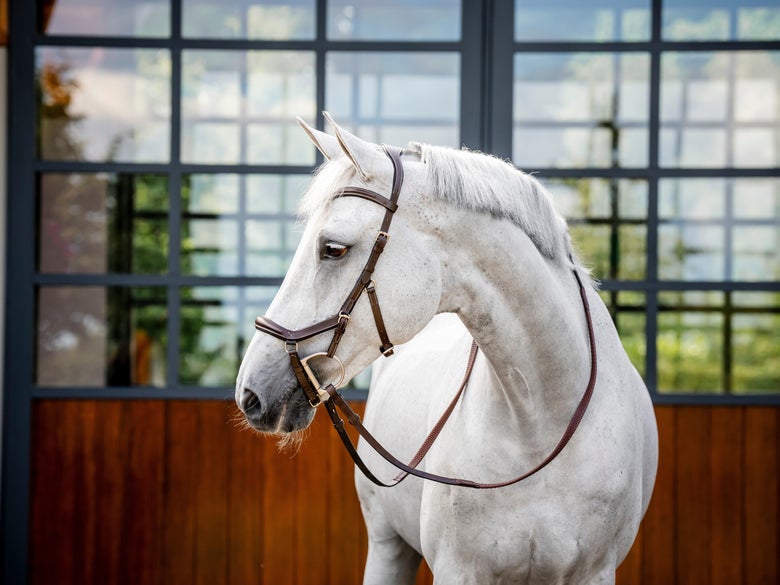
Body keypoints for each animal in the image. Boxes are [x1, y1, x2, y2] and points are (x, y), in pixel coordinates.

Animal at [236, 113, 658, 584]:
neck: (542, 419)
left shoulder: (594, 571)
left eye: (333, 249)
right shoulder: (459, 570)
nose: (250, 393)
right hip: (387, 544)